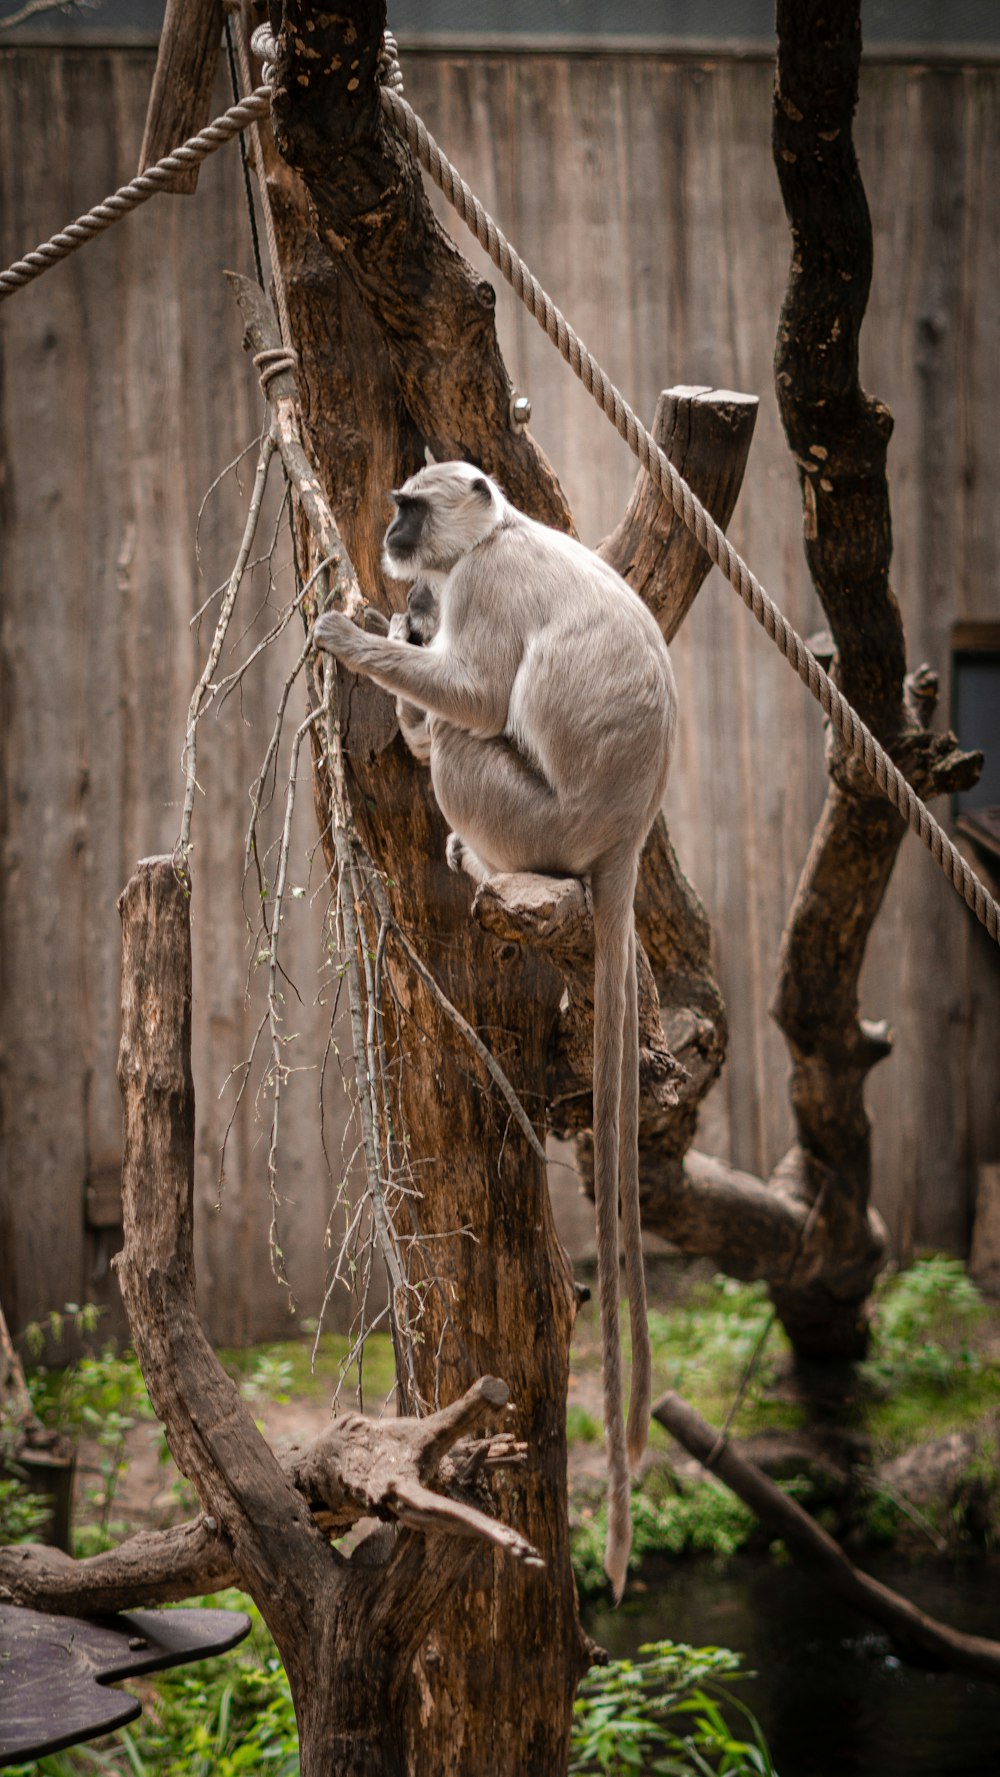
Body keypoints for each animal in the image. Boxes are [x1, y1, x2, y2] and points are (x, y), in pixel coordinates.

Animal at [312, 458, 678, 1599]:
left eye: (410, 508)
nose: (392, 538)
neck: (502, 533)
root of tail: (624, 833)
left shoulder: (484, 586)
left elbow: (477, 692)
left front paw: (358, 640)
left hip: (535, 820)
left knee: (471, 741)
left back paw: (454, 802)